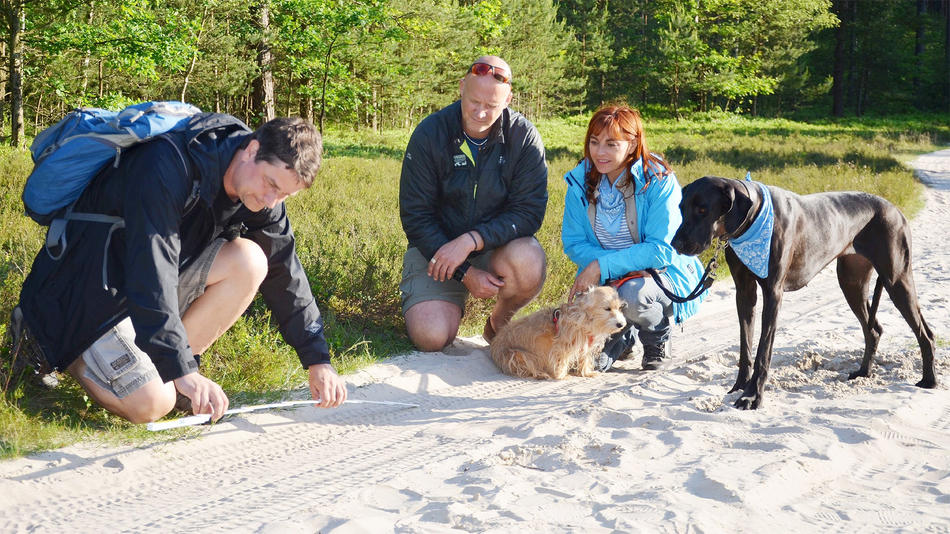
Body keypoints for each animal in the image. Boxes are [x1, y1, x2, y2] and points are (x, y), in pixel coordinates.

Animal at [490, 288, 632, 382]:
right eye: (607, 308)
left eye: (620, 308)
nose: (621, 324)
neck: (584, 318)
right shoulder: (561, 347)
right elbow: (561, 361)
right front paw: (561, 376)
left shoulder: (585, 345)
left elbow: (585, 359)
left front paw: (586, 373)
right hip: (518, 355)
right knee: (525, 369)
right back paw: (541, 374)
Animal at [672, 177, 940, 410]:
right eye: (681, 208)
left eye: (703, 210)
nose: (676, 244)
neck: (753, 218)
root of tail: (894, 209)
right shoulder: (745, 293)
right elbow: (745, 346)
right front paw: (739, 387)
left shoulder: (773, 293)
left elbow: (762, 351)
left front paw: (752, 396)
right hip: (851, 282)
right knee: (873, 329)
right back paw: (864, 372)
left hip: (897, 279)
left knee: (925, 333)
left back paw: (929, 380)